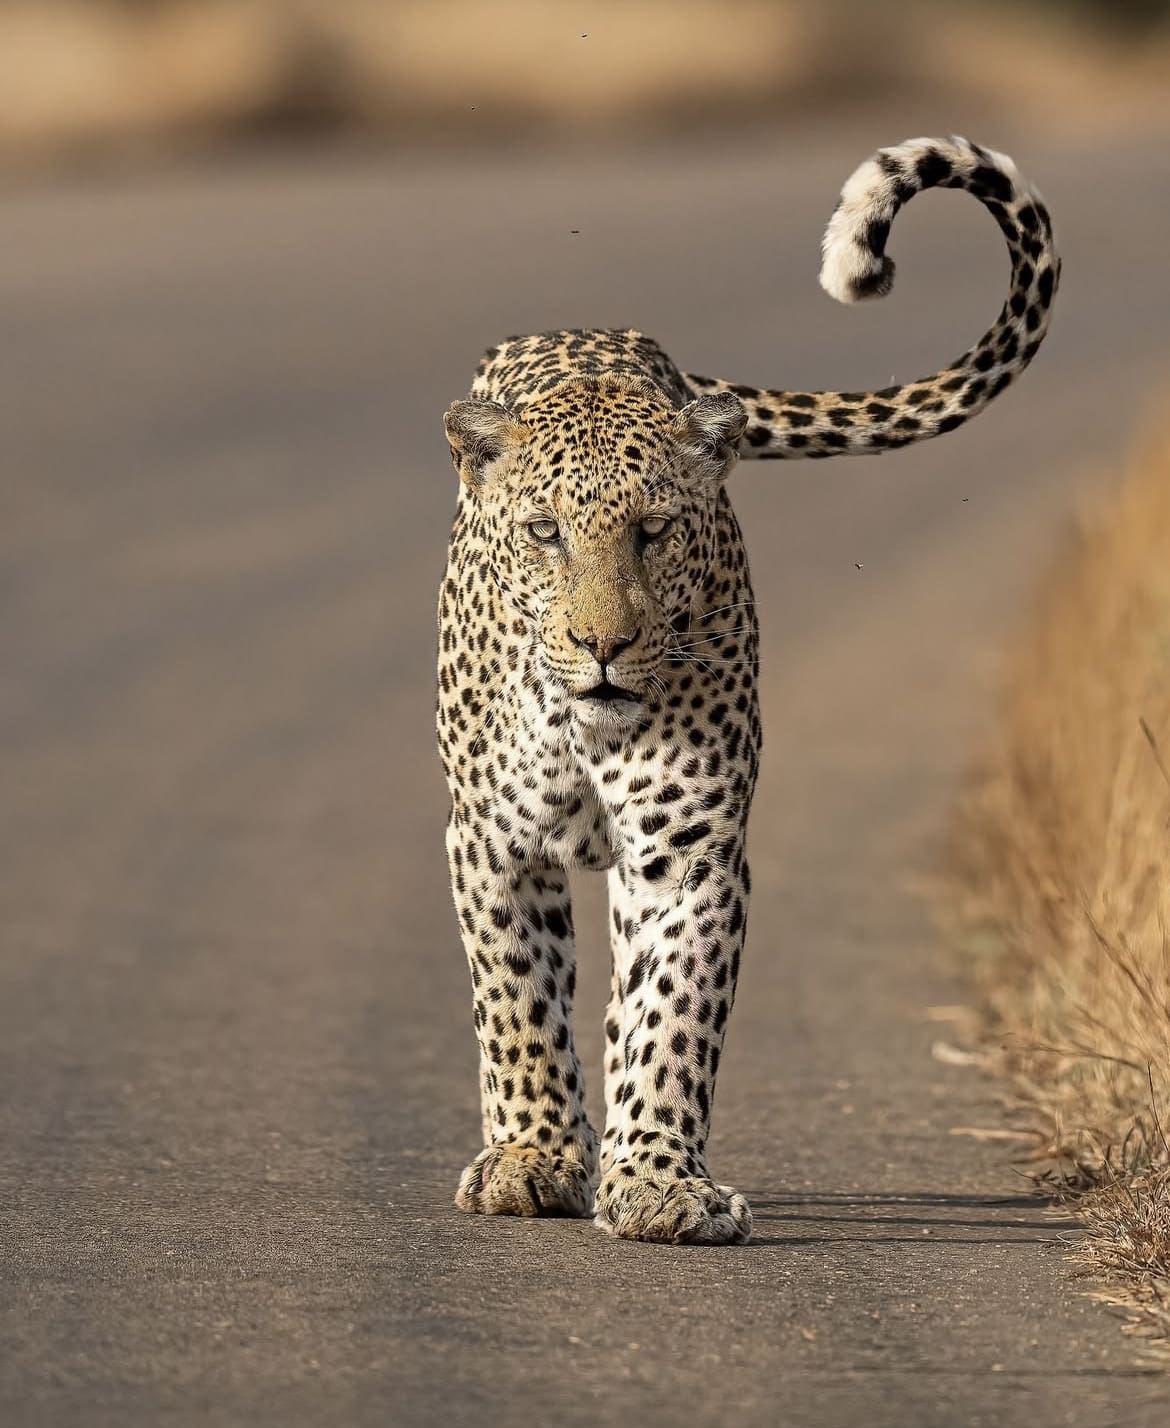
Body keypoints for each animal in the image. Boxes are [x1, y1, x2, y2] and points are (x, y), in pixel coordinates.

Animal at [434, 139, 1057, 1245]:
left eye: (654, 531)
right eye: (545, 532)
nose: (603, 645)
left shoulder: (687, 855)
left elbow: (671, 1018)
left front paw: (655, 1179)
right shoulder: (494, 842)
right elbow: (516, 1002)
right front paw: (532, 1159)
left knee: (625, 1002)